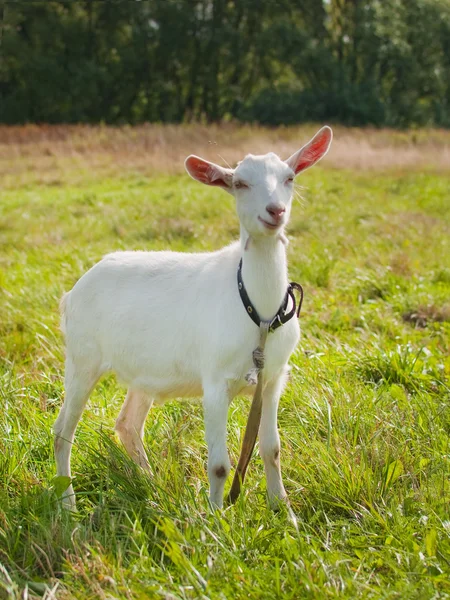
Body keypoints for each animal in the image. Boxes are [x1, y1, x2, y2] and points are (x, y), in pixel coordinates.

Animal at [54, 125, 332, 506]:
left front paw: (284, 511)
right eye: (240, 183)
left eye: (289, 177)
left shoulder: (273, 379)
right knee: (63, 430)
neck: (257, 311)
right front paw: (216, 518)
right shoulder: (214, 381)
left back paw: (152, 487)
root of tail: (74, 290)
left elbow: (271, 450)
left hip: (143, 369)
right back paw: (68, 504)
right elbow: (219, 465)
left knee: (128, 423)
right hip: (82, 358)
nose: (274, 211)